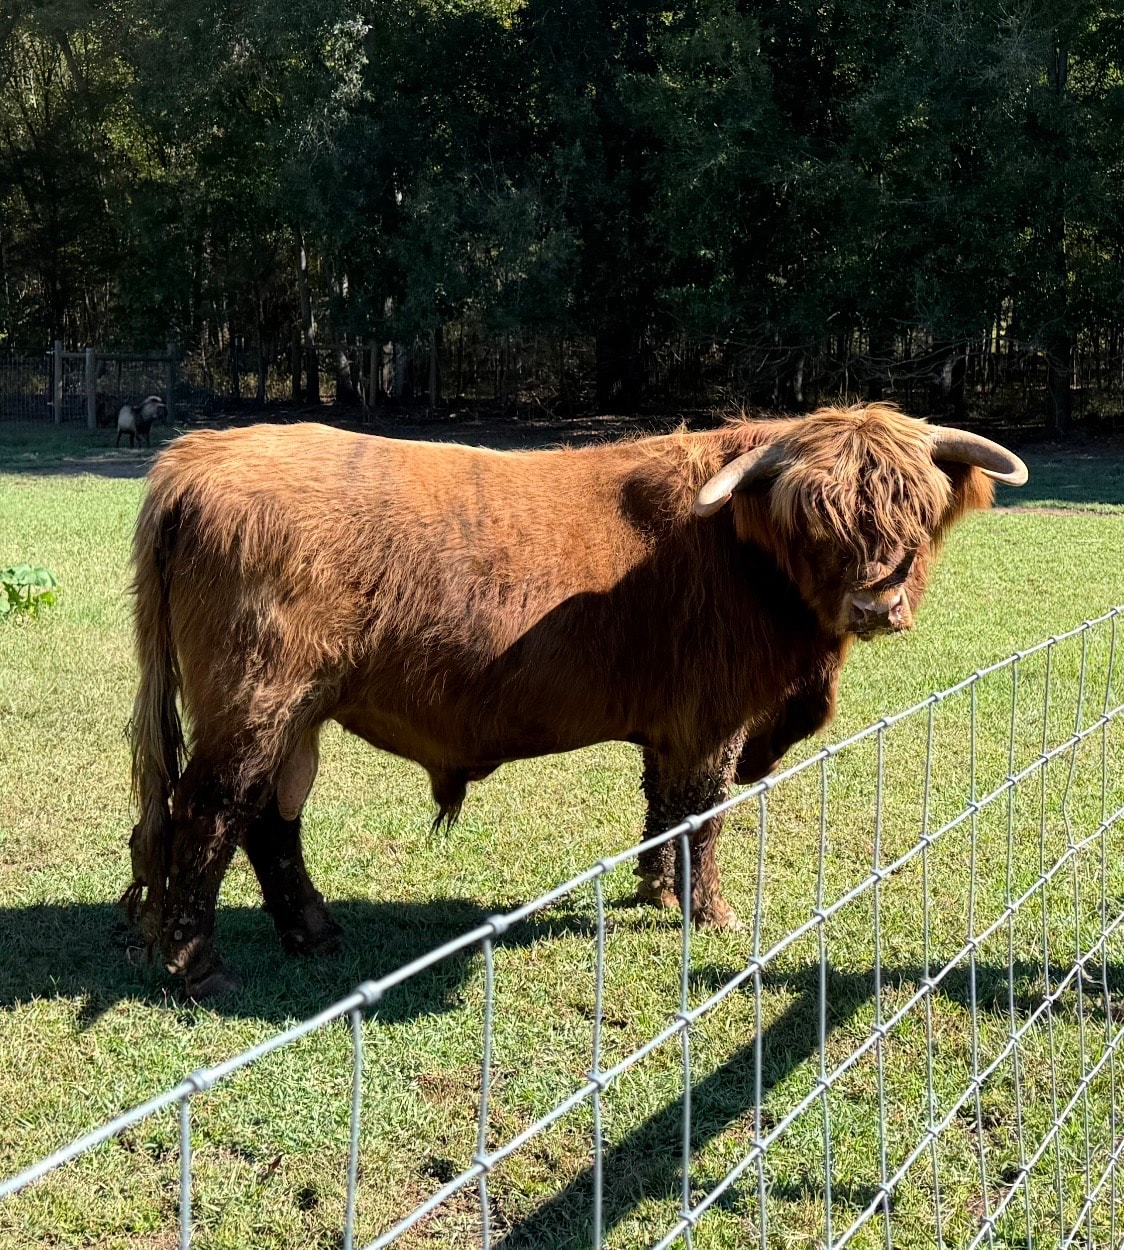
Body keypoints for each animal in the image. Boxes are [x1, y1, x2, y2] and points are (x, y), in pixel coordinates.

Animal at [122, 403, 1027, 997]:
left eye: (916, 510)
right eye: (816, 518)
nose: (877, 604)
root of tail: (204, 454)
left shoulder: (672, 722)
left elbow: (663, 809)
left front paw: (656, 890)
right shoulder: (716, 717)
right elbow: (705, 814)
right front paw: (710, 912)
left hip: (293, 709)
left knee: (270, 818)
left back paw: (313, 933)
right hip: (257, 692)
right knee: (211, 808)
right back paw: (196, 966)